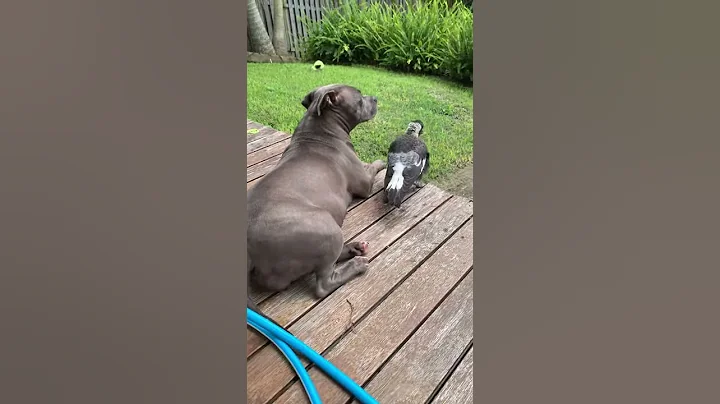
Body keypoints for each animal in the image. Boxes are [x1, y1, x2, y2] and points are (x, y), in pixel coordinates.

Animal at [248, 85, 386, 310]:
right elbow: (372, 166)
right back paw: (355, 265)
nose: (375, 98)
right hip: (326, 225)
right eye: (359, 98)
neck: (320, 128)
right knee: (324, 284)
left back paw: (355, 248)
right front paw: (382, 162)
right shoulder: (365, 183)